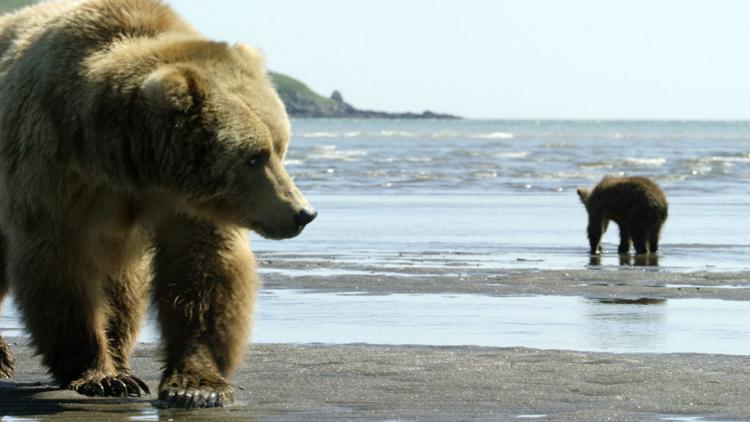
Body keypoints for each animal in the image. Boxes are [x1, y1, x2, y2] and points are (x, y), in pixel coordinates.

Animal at [0, 0, 314, 408]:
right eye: (253, 156)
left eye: (280, 146)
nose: (302, 213)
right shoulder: (53, 169)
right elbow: (59, 266)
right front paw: (101, 377)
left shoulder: (187, 204)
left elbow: (203, 271)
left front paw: (196, 385)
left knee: (124, 289)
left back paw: (122, 359)